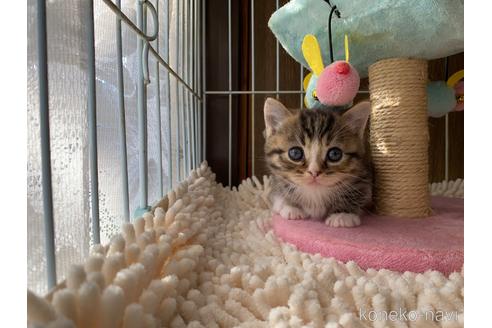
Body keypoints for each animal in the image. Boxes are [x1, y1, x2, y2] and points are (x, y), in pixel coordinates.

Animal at [264, 96, 370, 226]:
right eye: (295, 153)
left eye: (335, 154)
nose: (314, 172)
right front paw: (290, 206)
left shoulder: (364, 173)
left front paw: (343, 214)